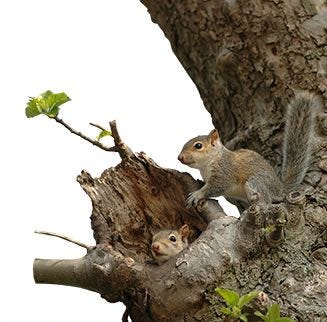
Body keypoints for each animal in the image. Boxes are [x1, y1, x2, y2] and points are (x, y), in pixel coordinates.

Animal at [178, 93, 320, 209]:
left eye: (198, 146)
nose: (180, 157)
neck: (209, 162)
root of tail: (279, 189)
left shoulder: (224, 172)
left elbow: (217, 187)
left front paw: (198, 194)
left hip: (255, 181)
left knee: (267, 201)